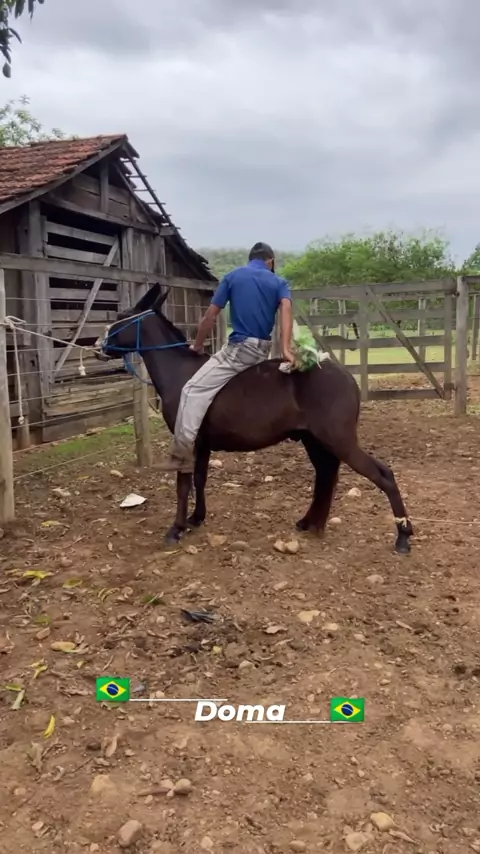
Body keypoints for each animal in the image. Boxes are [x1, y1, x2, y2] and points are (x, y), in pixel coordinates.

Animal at [95, 284, 413, 554]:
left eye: (121, 318)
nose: (98, 345)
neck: (181, 372)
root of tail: (345, 376)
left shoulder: (187, 438)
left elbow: (183, 484)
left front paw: (176, 528)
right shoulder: (203, 444)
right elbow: (199, 479)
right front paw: (197, 518)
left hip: (339, 439)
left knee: (383, 475)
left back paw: (403, 536)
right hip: (314, 440)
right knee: (326, 474)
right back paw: (310, 522)